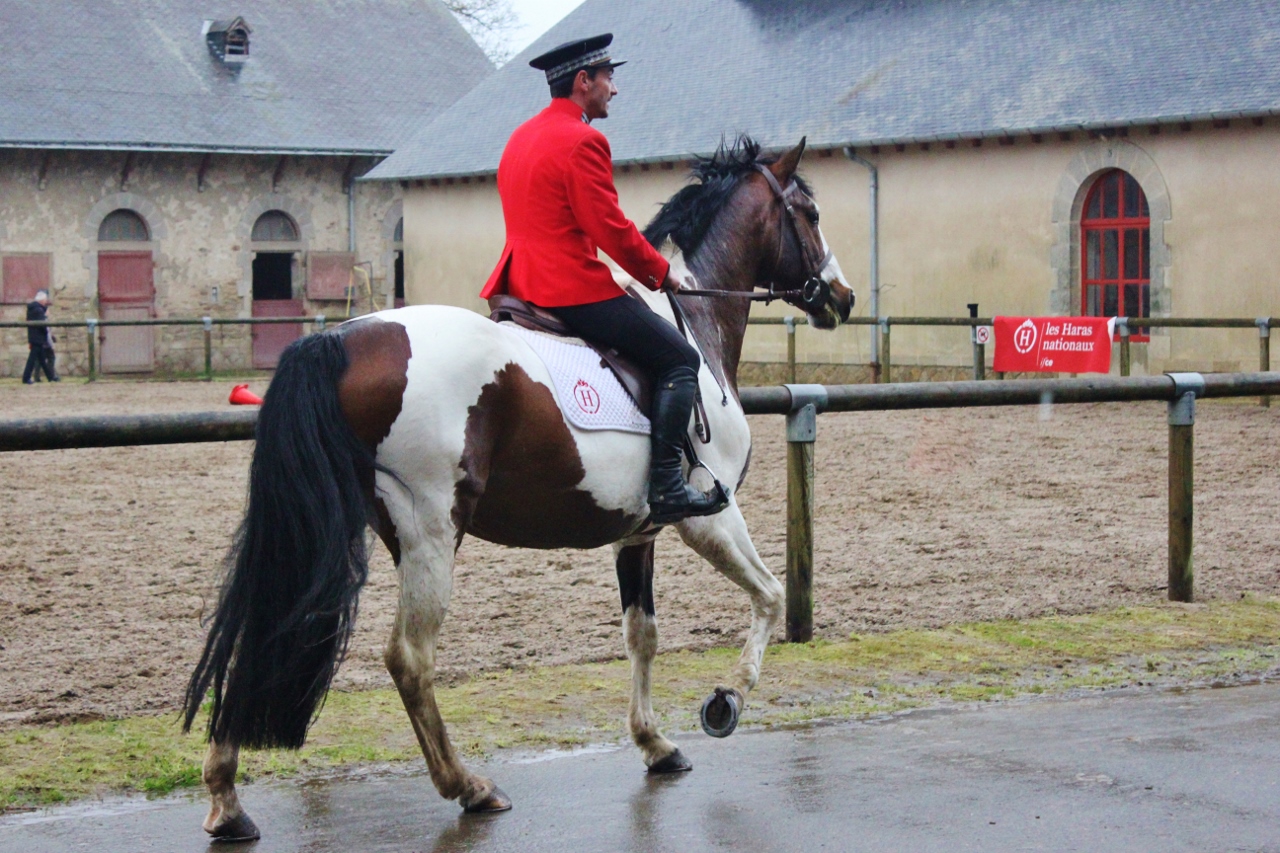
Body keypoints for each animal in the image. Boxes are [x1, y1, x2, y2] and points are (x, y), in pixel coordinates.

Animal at [183, 134, 849, 835]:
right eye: (811, 214)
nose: (843, 296)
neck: (693, 319)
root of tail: (339, 340)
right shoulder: (708, 516)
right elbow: (770, 596)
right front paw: (726, 701)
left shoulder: (638, 534)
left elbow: (642, 635)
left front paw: (655, 743)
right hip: (430, 530)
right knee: (410, 658)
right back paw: (468, 786)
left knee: (266, 630)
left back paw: (227, 799)